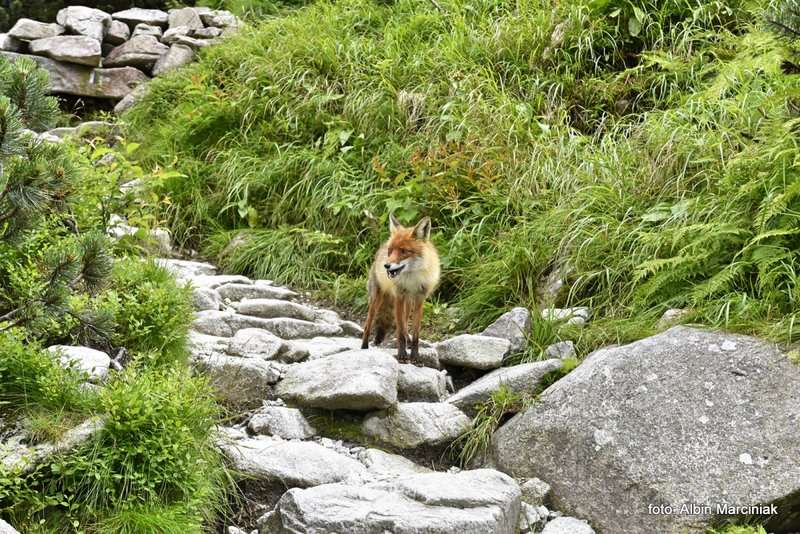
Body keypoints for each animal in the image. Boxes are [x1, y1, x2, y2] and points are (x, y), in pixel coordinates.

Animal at [360, 215, 440, 364]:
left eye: (403, 251)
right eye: (390, 251)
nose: (386, 266)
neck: (412, 279)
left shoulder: (419, 299)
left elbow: (415, 334)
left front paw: (415, 356)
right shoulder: (399, 297)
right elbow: (399, 333)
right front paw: (402, 355)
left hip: (408, 303)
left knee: (405, 324)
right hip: (376, 299)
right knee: (368, 325)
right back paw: (364, 347)